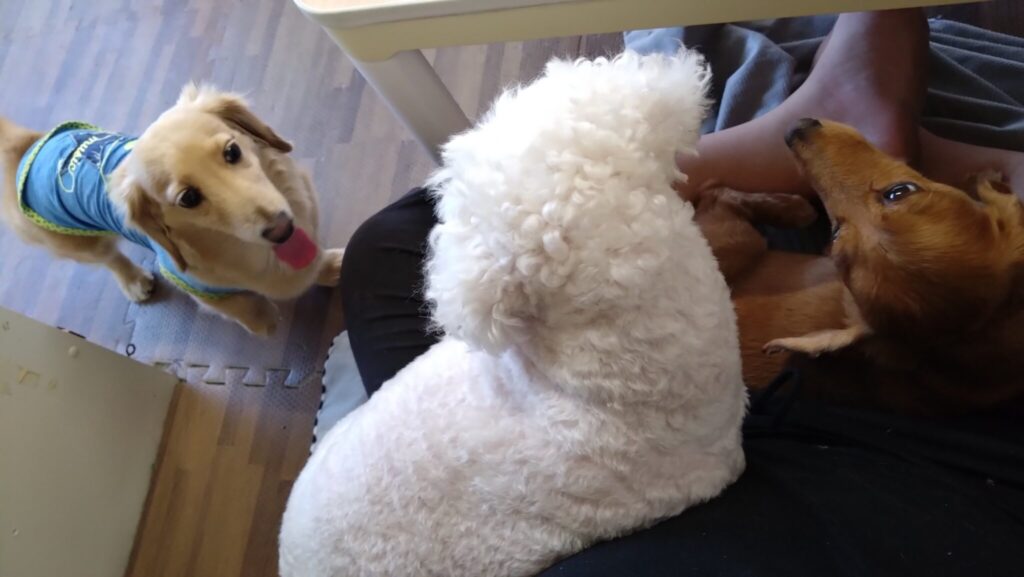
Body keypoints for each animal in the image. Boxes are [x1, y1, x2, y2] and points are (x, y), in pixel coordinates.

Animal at [0, 83, 344, 335]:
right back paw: (134, 281)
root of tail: (31, 146)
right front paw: (264, 321)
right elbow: (240, 305)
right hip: (81, 243)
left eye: (232, 151)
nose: (281, 229)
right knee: (109, 258)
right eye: (188, 198)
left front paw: (332, 266)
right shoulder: (197, 285)